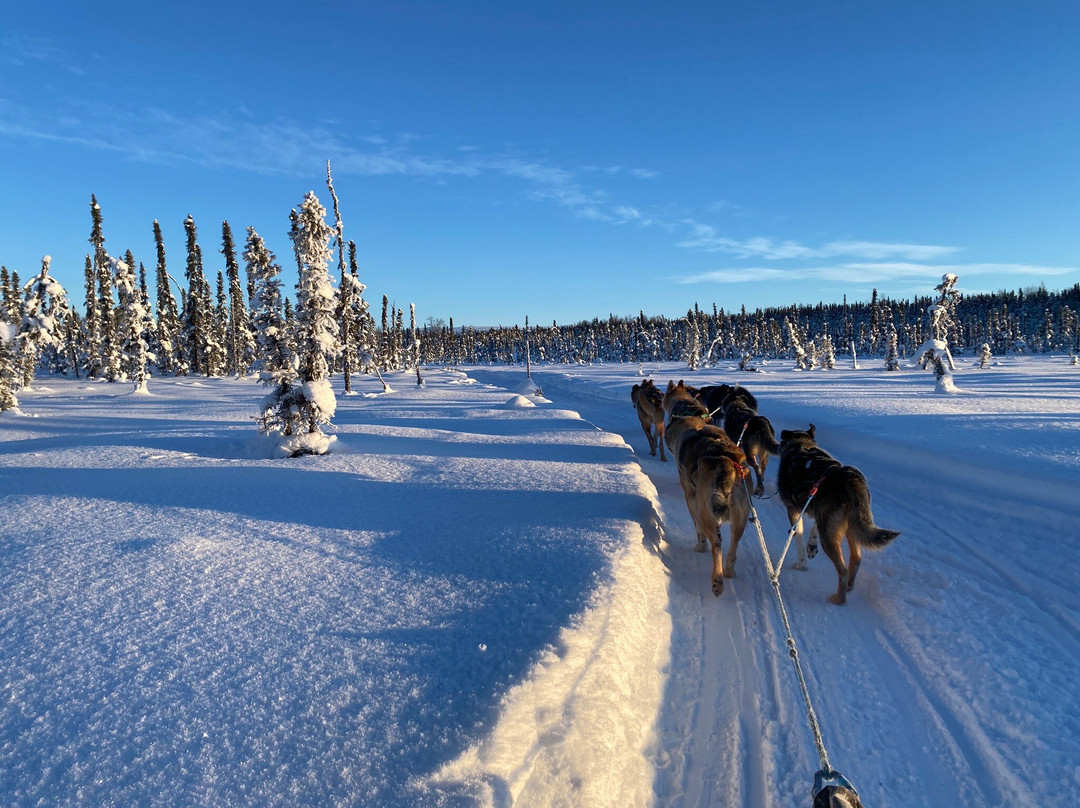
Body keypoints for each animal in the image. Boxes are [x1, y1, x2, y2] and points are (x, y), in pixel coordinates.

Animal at [656, 378, 751, 591]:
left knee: (716, 544)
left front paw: (700, 546)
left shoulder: (691, 497)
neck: (688, 415)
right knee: (733, 548)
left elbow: (697, 528)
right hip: (741, 517)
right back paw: (729, 571)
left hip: (707, 511)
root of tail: (724, 460)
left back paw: (717, 580)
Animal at [781, 425, 898, 604]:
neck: (801, 444)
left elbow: (798, 537)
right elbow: (813, 530)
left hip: (830, 537)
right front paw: (811, 546)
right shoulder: (819, 514)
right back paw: (849, 585)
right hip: (852, 525)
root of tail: (850, 478)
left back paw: (839, 599)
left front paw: (801, 563)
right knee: (856, 558)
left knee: (842, 570)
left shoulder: (794, 510)